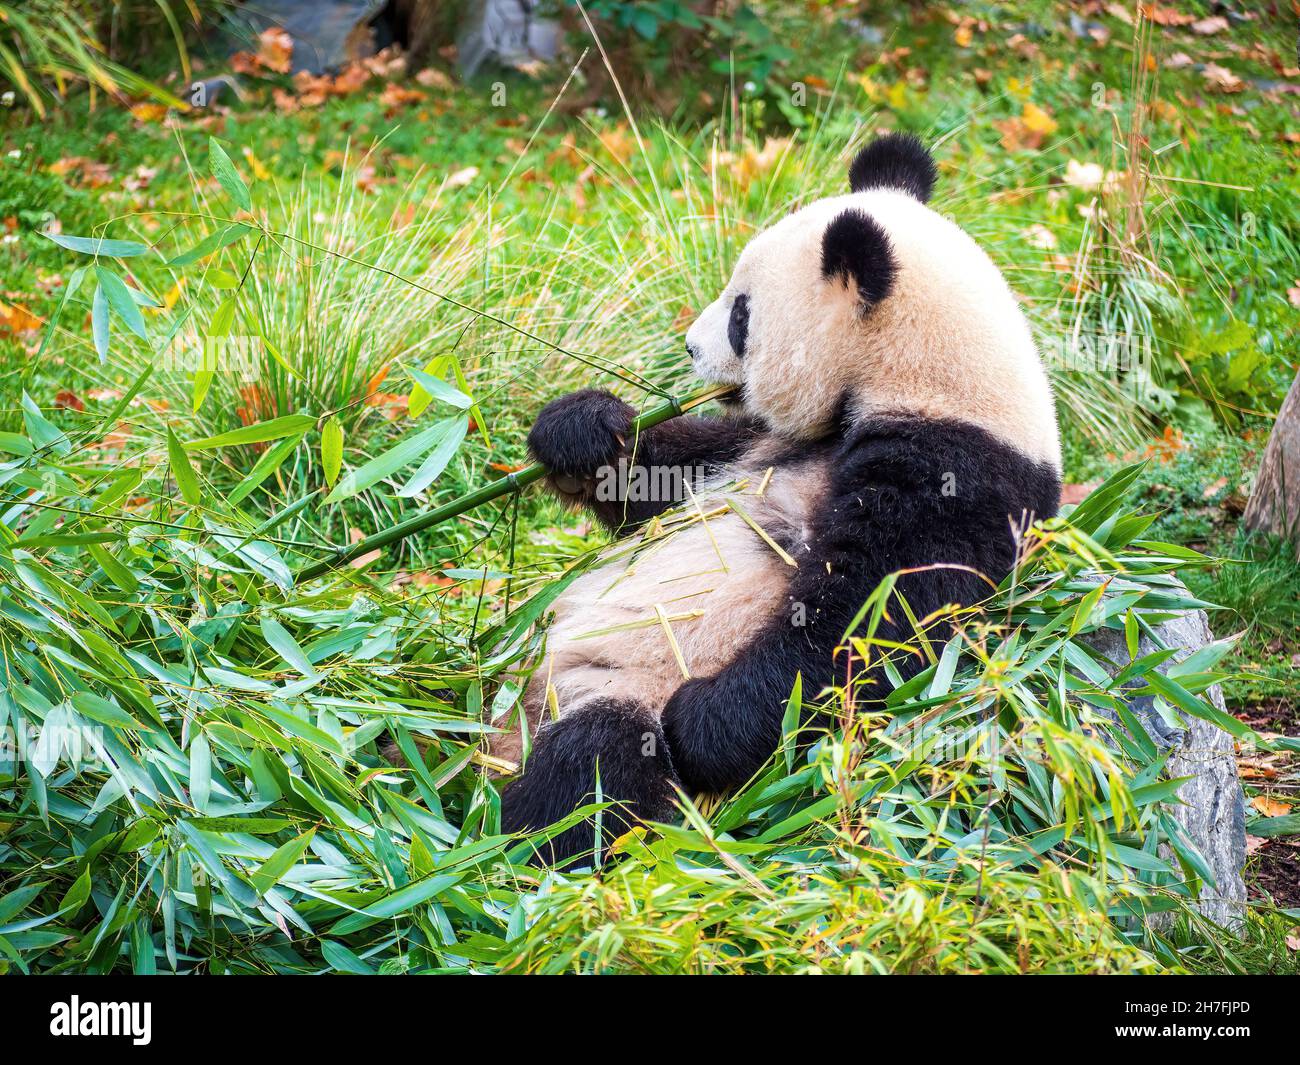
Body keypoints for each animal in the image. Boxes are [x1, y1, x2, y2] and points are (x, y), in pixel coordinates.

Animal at [491, 133, 1060, 868]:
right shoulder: (762, 448)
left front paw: (702, 722)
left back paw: (507, 847)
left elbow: (865, 624)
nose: (689, 347)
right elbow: (667, 475)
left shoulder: (961, 480)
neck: (930, 380)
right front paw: (581, 428)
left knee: (596, 763)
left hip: (608, 690)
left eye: (742, 313)